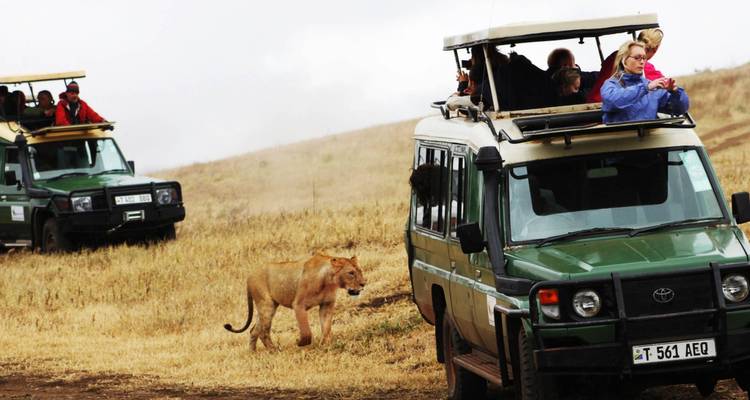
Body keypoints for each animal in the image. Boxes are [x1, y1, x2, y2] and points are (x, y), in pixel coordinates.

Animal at [224, 252, 366, 350]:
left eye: (360, 271)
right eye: (351, 273)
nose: (364, 283)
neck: (329, 282)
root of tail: (249, 276)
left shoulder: (326, 305)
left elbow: (326, 328)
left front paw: (325, 346)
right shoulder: (299, 305)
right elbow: (306, 331)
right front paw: (299, 342)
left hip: (269, 306)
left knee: (254, 330)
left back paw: (253, 353)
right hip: (266, 304)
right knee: (263, 331)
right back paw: (274, 351)